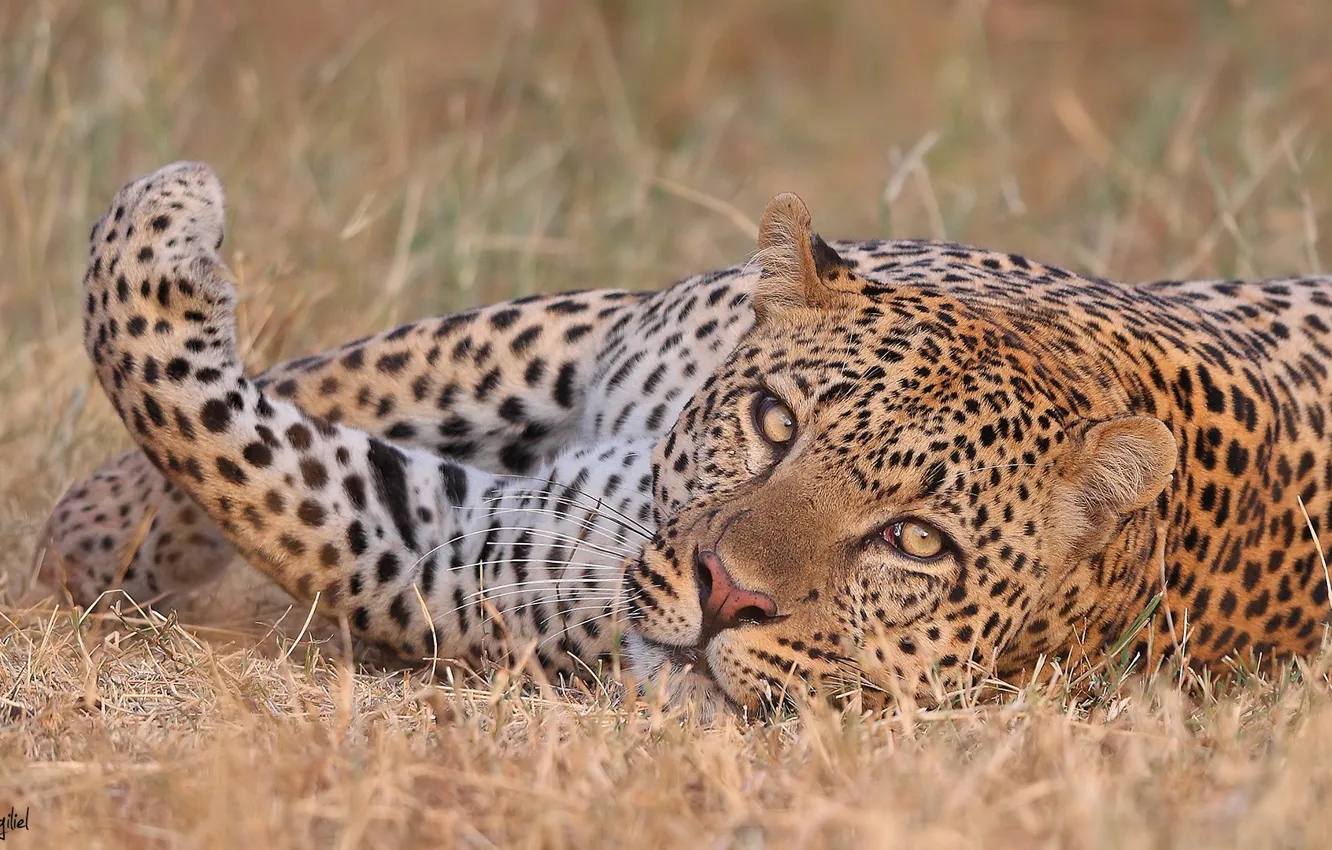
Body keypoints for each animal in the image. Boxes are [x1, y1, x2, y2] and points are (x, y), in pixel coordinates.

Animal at [40, 160, 1332, 716]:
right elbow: (359, 365)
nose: (725, 593)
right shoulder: (587, 334)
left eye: (915, 540)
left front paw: (177, 208)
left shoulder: (454, 554)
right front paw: (103, 537)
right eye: (774, 423)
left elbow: (214, 430)